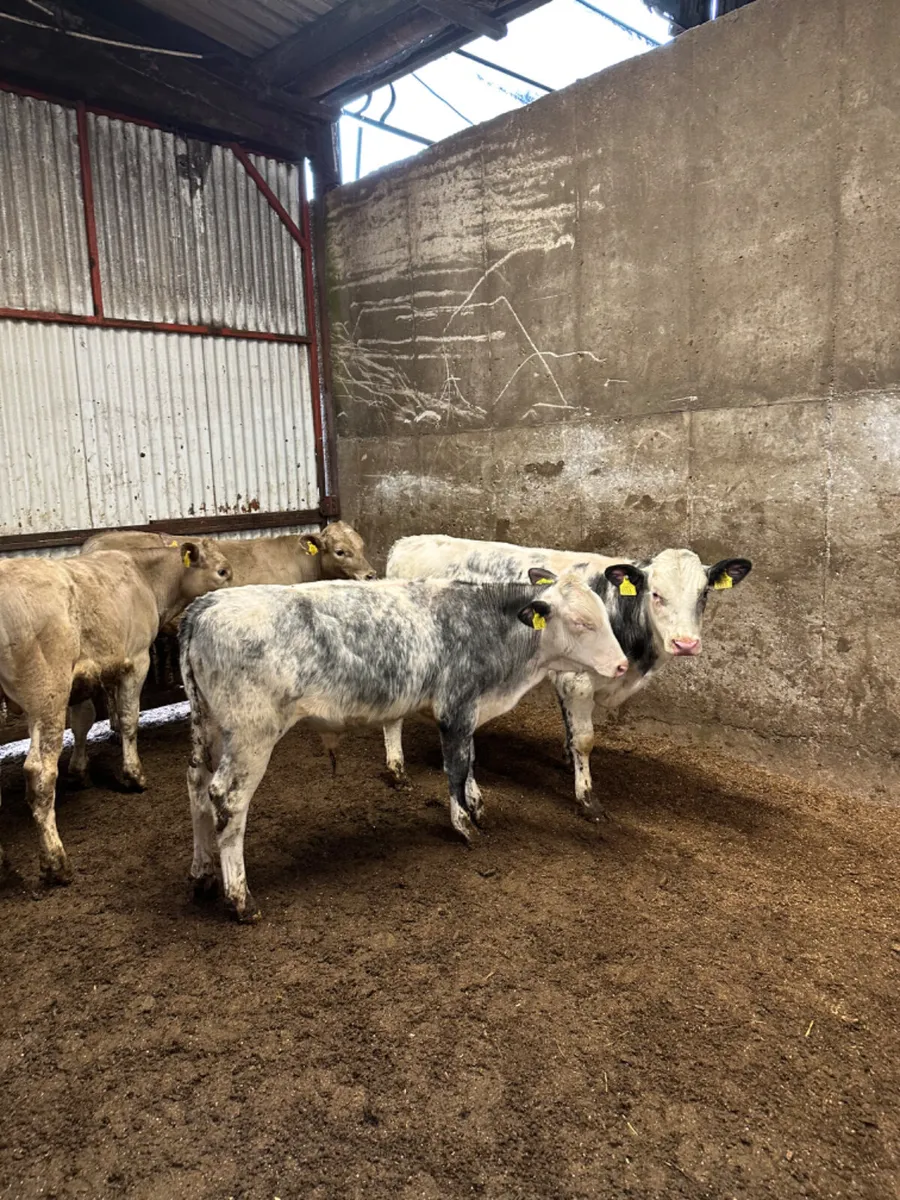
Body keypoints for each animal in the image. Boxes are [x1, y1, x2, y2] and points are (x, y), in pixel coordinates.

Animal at [0, 542, 232, 885]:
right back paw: (56, 862)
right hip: (47, 695)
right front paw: (133, 775)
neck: (144, 574)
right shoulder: (135, 660)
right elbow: (128, 719)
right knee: (39, 773)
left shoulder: (82, 679)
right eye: (222, 572)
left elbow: (82, 721)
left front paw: (79, 771)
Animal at [179, 569, 632, 922]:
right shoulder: (456, 706)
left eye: (604, 616)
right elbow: (455, 768)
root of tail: (205, 606)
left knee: (197, 786)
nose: (622, 664)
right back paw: (240, 899)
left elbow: (469, 762)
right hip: (251, 735)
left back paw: (202, 873)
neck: (486, 624)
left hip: (207, 728)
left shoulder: (468, 711)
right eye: (581, 622)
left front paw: (477, 806)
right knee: (227, 800)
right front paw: (465, 825)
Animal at [383, 535, 752, 816]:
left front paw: (567, 758)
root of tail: (407, 542)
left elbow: (572, 730)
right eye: (656, 594)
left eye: (704, 594)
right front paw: (587, 798)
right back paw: (397, 768)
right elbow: (586, 739)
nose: (685, 643)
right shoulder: (577, 681)